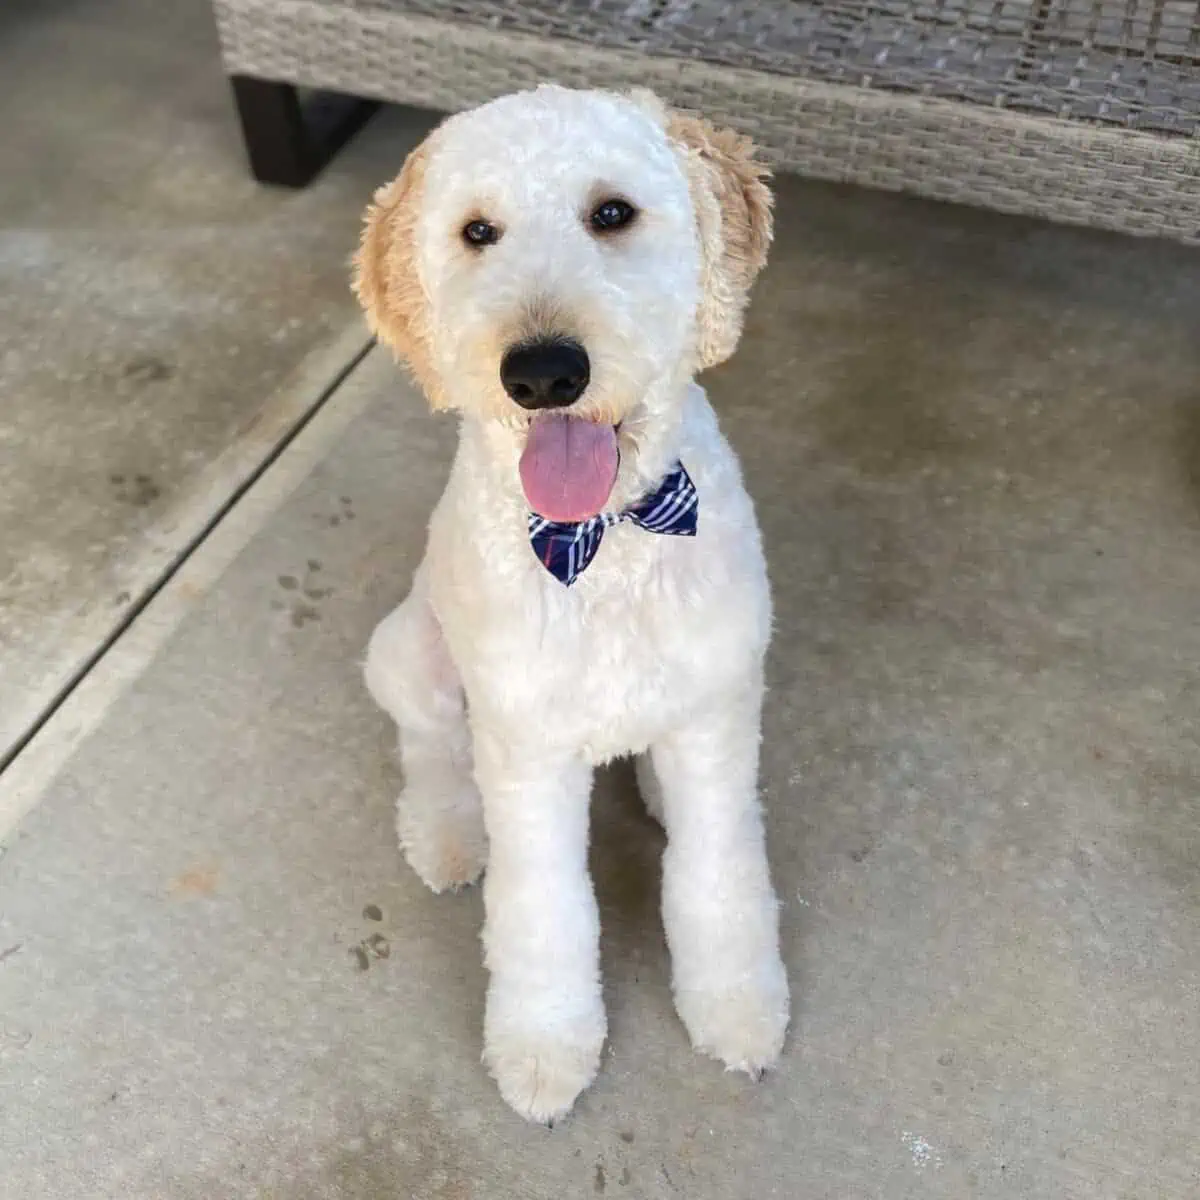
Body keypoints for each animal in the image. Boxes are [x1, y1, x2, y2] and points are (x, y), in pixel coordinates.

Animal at [352, 87, 787, 1123]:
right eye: (477, 232)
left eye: (612, 213)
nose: (544, 372)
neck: (606, 545)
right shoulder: (526, 755)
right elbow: (543, 909)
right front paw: (544, 1047)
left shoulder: (717, 716)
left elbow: (717, 877)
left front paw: (735, 1007)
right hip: (410, 655)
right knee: (429, 752)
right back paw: (446, 835)